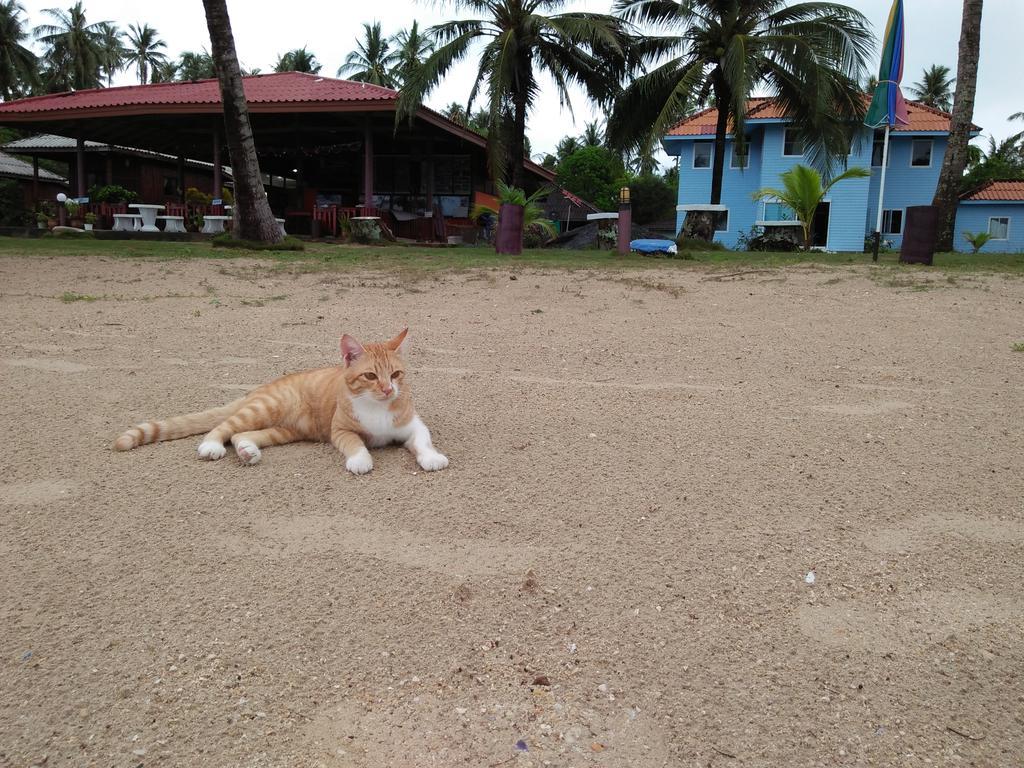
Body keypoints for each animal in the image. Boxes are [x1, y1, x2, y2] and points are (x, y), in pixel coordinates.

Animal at [113, 331, 448, 475]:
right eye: (369, 376)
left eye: (396, 374)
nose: (389, 389)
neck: (378, 409)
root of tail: (260, 388)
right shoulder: (339, 430)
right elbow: (356, 444)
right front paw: (360, 460)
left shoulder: (413, 425)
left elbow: (423, 441)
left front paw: (431, 457)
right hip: (263, 409)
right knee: (225, 427)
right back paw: (210, 446)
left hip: (284, 430)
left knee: (240, 434)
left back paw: (247, 451)